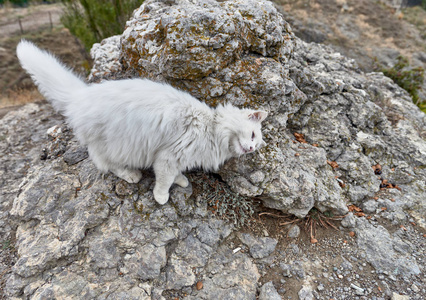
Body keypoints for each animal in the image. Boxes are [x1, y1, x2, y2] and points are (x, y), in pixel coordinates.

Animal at [18, 40, 268, 204]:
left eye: (256, 142)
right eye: (252, 135)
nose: (251, 148)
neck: (213, 127)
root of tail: (82, 96)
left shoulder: (175, 159)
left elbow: (175, 175)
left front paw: (181, 181)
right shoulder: (167, 157)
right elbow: (164, 180)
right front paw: (161, 197)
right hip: (115, 145)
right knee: (106, 163)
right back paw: (130, 175)